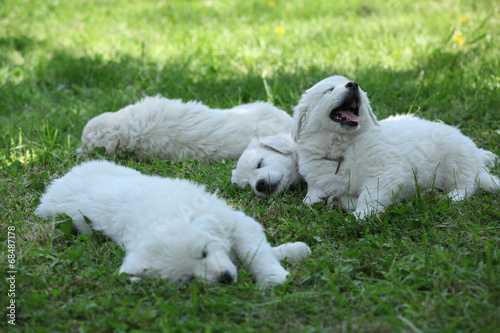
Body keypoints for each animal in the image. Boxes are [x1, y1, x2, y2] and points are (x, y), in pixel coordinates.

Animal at [35, 160, 308, 284]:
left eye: (204, 252)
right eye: (188, 279)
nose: (225, 279)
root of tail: (55, 185)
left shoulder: (233, 221)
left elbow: (255, 251)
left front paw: (277, 273)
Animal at [292, 76, 498, 220]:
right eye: (329, 90)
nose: (354, 84)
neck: (344, 148)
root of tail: (477, 162)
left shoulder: (385, 171)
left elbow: (369, 194)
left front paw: (362, 214)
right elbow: (317, 187)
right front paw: (316, 197)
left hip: (455, 161)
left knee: (466, 186)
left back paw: (449, 197)